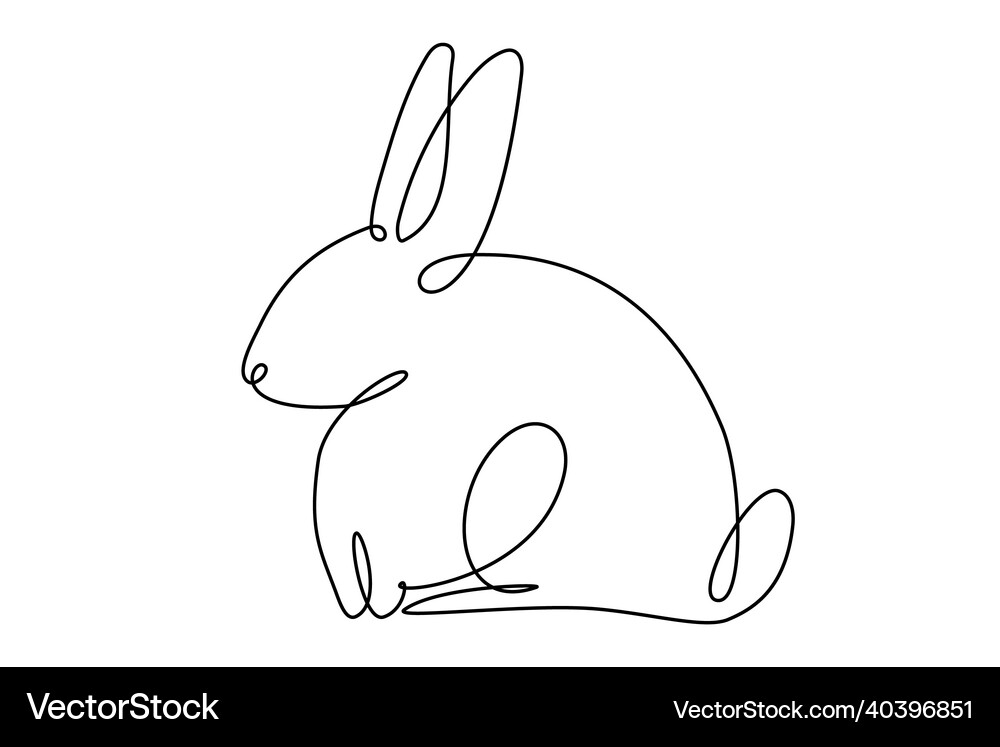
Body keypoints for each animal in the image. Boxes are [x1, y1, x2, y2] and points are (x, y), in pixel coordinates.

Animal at [241, 43, 794, 623]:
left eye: (338, 309)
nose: (253, 371)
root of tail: (700, 595)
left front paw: (390, 607)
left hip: (536, 467)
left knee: (549, 586)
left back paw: (453, 602)